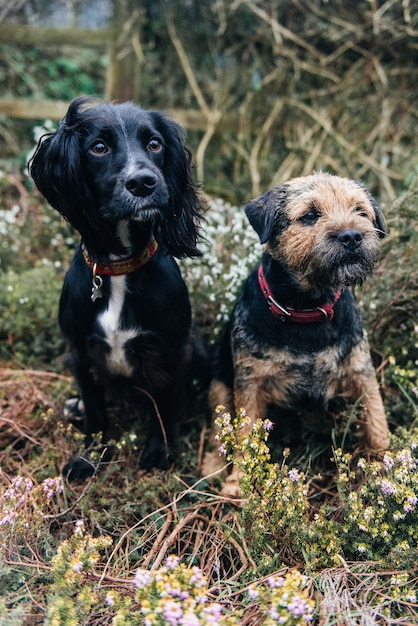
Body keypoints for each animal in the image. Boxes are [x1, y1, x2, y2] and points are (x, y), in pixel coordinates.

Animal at [31, 96, 204, 478]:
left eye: (154, 143)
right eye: (98, 147)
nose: (143, 182)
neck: (118, 268)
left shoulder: (172, 349)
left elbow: (163, 407)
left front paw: (160, 451)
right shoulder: (80, 349)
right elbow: (96, 412)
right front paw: (89, 456)